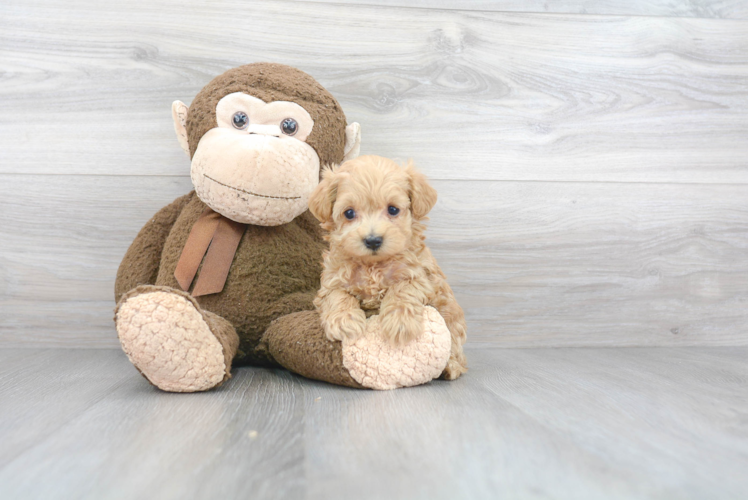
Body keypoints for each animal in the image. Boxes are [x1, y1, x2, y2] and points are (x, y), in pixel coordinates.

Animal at [306, 155, 464, 378]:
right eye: (349, 213)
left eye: (393, 209)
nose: (373, 240)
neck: (373, 265)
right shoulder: (331, 282)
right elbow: (338, 296)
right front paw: (345, 321)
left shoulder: (420, 276)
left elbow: (402, 289)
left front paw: (400, 323)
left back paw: (451, 366)